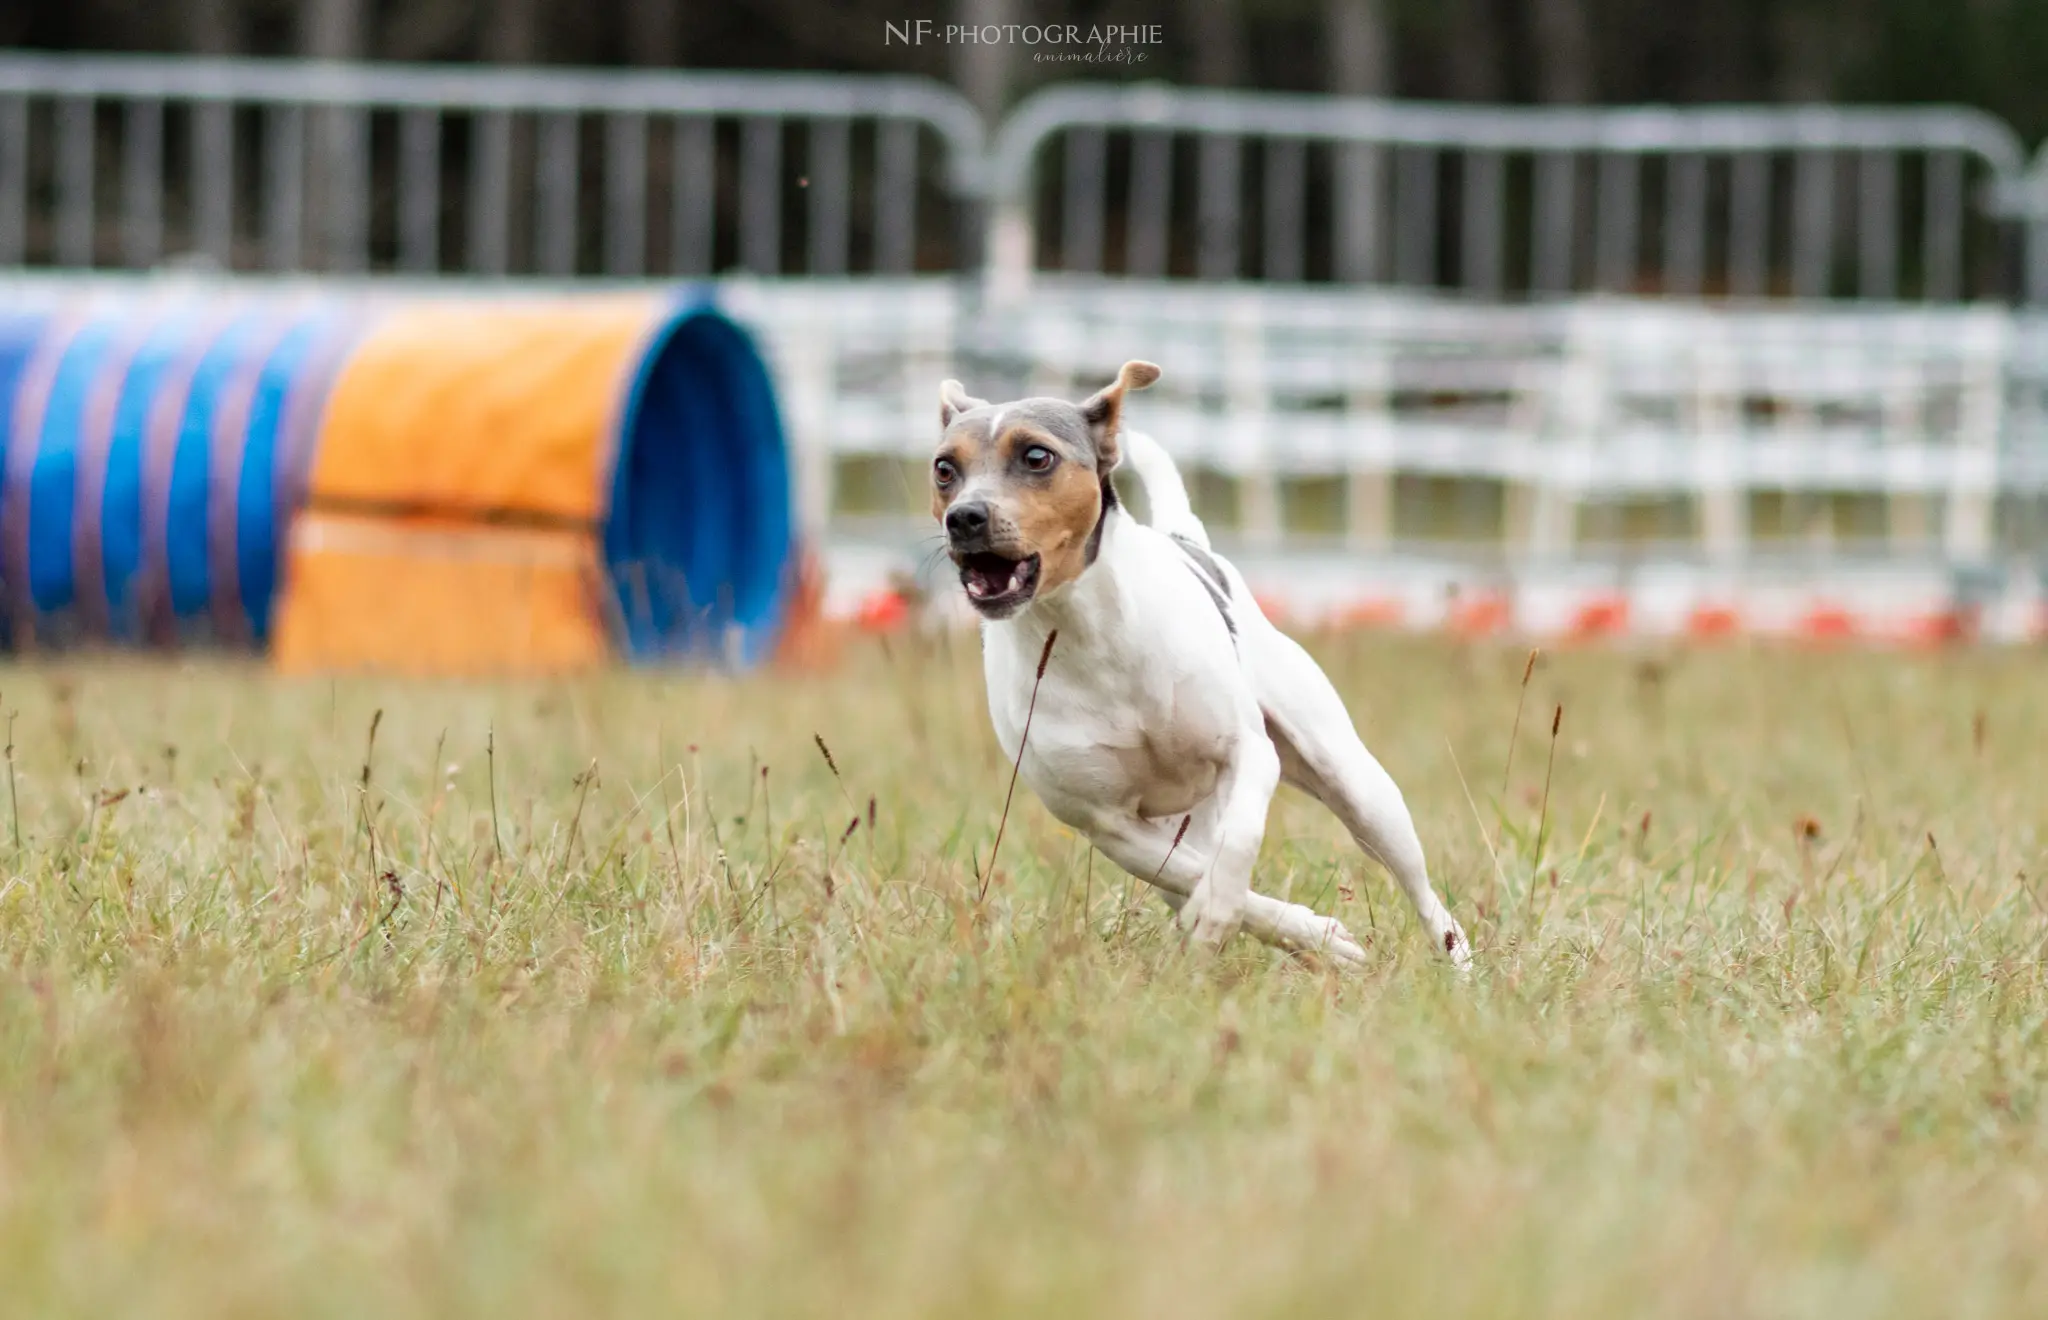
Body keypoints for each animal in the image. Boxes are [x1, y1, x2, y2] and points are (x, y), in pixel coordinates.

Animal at [929, 360, 1474, 965]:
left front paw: (1219, 913)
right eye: (945, 468)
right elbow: (1188, 874)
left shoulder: (1249, 754)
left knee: (1423, 894)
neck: (1085, 632)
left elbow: (1237, 844)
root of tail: (1185, 537)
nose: (964, 517)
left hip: (1360, 790)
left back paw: (1459, 966)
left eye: (1036, 457)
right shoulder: (1105, 823)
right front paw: (1305, 931)